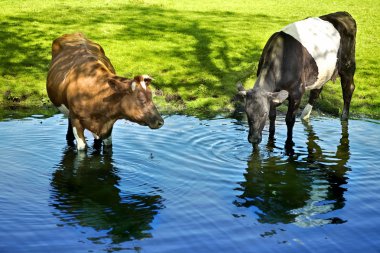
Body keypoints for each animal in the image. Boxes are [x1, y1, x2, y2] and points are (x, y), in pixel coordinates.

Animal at [238, 11, 356, 148]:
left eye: (263, 113)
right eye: (247, 112)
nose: (254, 139)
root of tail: (343, 14)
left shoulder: (297, 92)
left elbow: (289, 120)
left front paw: (289, 144)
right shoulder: (273, 93)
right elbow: (273, 116)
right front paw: (271, 139)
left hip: (348, 65)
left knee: (348, 89)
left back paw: (344, 118)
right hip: (322, 73)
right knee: (316, 91)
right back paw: (305, 115)